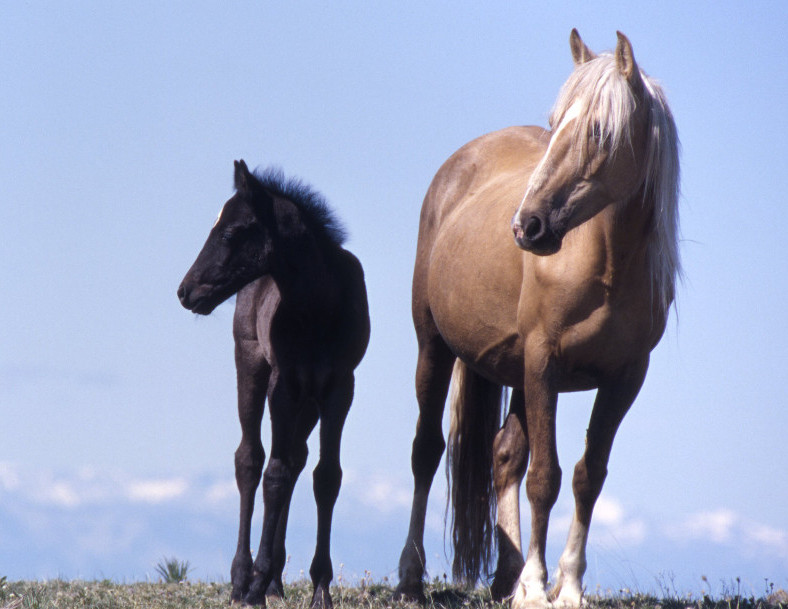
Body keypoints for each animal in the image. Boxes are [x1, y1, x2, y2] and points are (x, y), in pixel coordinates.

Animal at [179, 162, 370, 608]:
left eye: (229, 232)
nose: (185, 291)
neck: (319, 307)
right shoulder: (284, 384)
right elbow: (274, 475)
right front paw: (253, 585)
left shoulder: (340, 387)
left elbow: (325, 476)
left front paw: (320, 589)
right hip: (251, 363)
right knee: (250, 459)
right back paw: (242, 579)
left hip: (309, 402)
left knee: (297, 458)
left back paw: (275, 581)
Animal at [398, 30, 680, 604]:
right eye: (555, 124)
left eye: (600, 130)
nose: (527, 226)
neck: (605, 267)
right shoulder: (544, 364)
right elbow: (545, 477)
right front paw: (535, 586)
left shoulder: (623, 379)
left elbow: (587, 475)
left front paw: (566, 585)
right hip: (435, 347)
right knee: (426, 450)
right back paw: (413, 576)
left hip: (515, 369)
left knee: (505, 455)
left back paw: (505, 574)